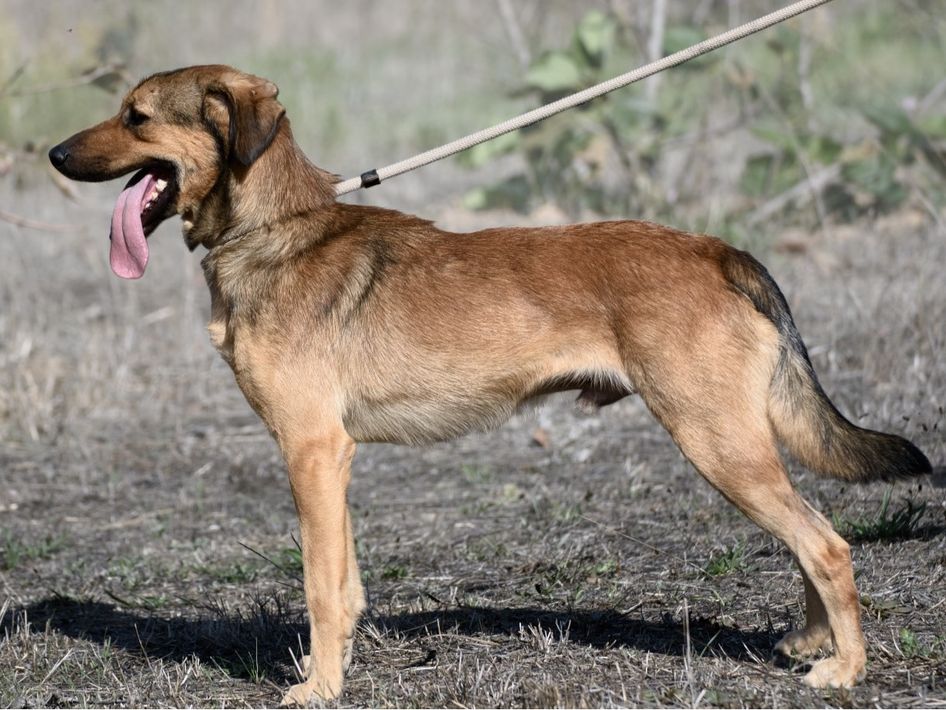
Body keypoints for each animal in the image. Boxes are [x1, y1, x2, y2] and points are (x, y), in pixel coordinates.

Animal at [48, 65, 931, 704]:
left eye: (136, 117)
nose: (53, 157)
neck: (276, 232)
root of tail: (719, 250)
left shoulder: (310, 452)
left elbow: (320, 589)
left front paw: (319, 688)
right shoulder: (334, 462)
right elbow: (348, 583)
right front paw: (338, 666)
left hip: (719, 444)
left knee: (827, 542)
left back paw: (845, 669)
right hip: (740, 444)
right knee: (811, 538)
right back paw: (814, 641)